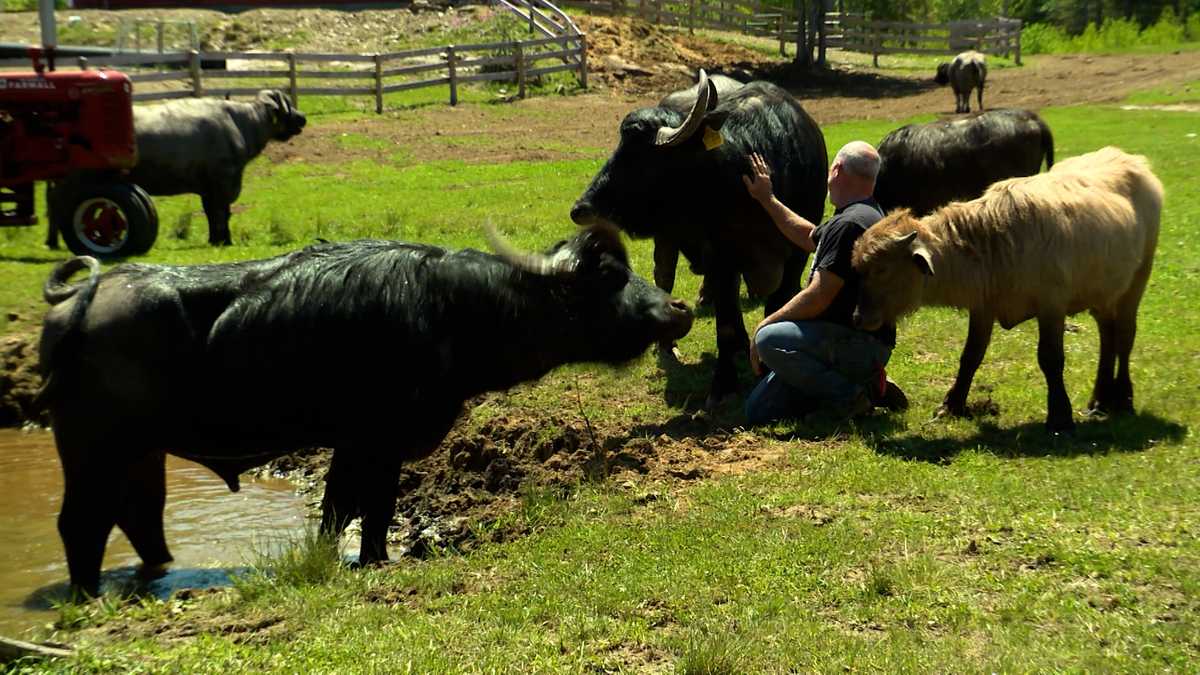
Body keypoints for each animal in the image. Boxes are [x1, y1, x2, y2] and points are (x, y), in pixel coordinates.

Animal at [37, 225, 693, 596]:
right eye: (609, 276)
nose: (678, 309)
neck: (453, 308)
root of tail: (84, 297)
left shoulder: (352, 446)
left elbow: (337, 512)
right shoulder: (379, 441)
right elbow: (374, 510)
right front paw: (378, 561)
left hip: (139, 455)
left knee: (139, 519)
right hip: (90, 449)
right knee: (80, 525)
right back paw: (86, 595)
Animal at [571, 70, 828, 407]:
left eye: (639, 158)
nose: (581, 208)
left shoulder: (796, 254)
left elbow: (776, 307)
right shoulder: (721, 256)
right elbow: (725, 324)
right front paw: (723, 385)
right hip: (668, 240)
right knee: (665, 275)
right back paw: (669, 344)